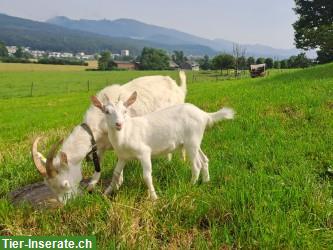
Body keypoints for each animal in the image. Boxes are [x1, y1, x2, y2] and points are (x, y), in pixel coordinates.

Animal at [32, 71, 185, 203]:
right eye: (50, 187)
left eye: (65, 184)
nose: (66, 205)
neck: (100, 121)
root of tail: (178, 88)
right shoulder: (99, 146)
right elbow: (98, 166)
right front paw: (92, 186)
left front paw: (117, 185)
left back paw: (176, 161)